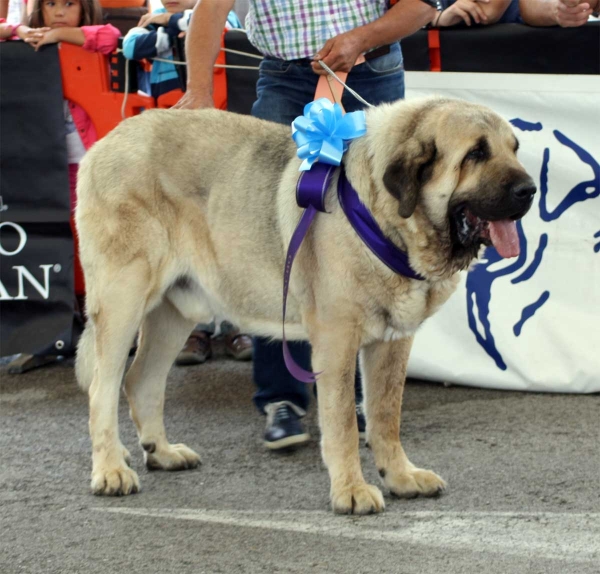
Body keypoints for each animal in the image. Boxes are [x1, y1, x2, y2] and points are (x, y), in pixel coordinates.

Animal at [75, 97, 536, 516]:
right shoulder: (336, 343)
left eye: (514, 148)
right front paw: (352, 490)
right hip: (124, 299)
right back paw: (111, 469)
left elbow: (386, 414)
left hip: (176, 313)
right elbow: (343, 423)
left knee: (142, 381)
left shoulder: (391, 343)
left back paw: (162, 451)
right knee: (103, 388)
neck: (386, 215)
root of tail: (106, 142)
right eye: (475, 153)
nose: (530, 189)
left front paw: (401, 476)